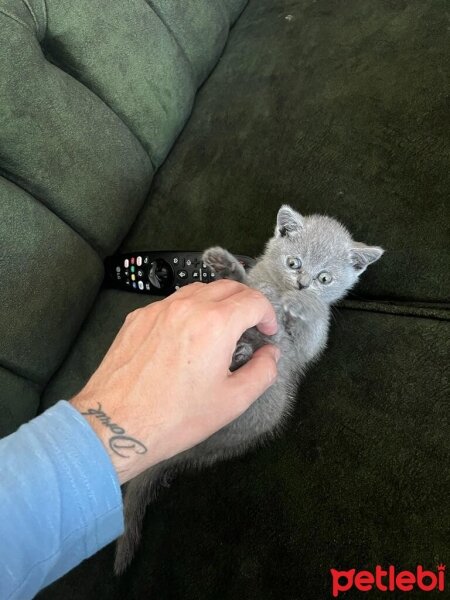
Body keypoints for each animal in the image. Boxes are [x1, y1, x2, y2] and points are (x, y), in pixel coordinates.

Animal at [113, 205, 384, 572]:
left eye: (324, 278)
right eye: (294, 263)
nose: (301, 284)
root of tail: (210, 444)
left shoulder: (303, 348)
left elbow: (308, 326)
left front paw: (299, 303)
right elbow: (249, 288)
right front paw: (225, 266)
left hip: (270, 395)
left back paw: (241, 354)